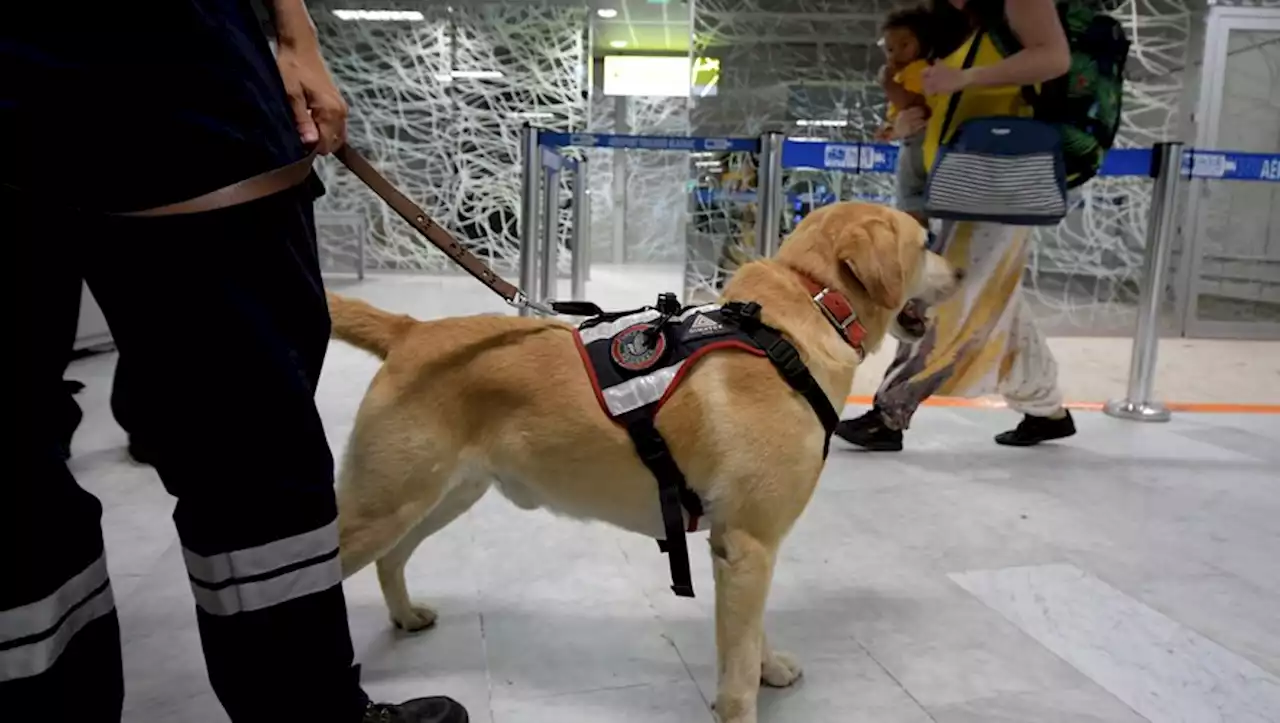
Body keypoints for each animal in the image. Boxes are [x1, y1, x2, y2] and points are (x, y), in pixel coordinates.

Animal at [325, 199, 957, 716]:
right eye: (926, 241)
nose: (959, 273)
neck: (808, 311)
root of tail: (410, 331)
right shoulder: (747, 545)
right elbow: (736, 673)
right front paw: (747, 698)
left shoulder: (745, 547)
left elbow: (752, 635)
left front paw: (769, 666)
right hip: (381, 506)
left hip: (438, 496)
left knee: (391, 559)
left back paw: (406, 615)